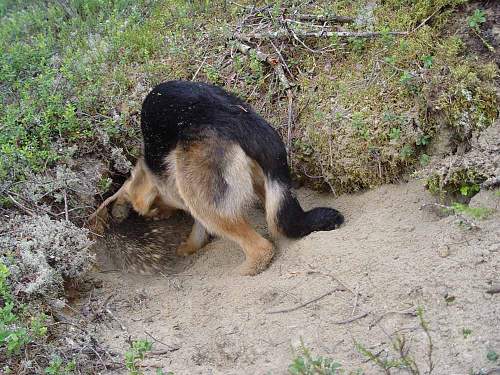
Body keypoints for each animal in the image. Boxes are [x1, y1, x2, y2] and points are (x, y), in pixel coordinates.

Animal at [93, 81, 344, 276]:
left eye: (155, 208)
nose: (156, 218)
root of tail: (241, 122)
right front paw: (191, 245)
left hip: (197, 191)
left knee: (261, 248)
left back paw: (243, 271)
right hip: (264, 181)